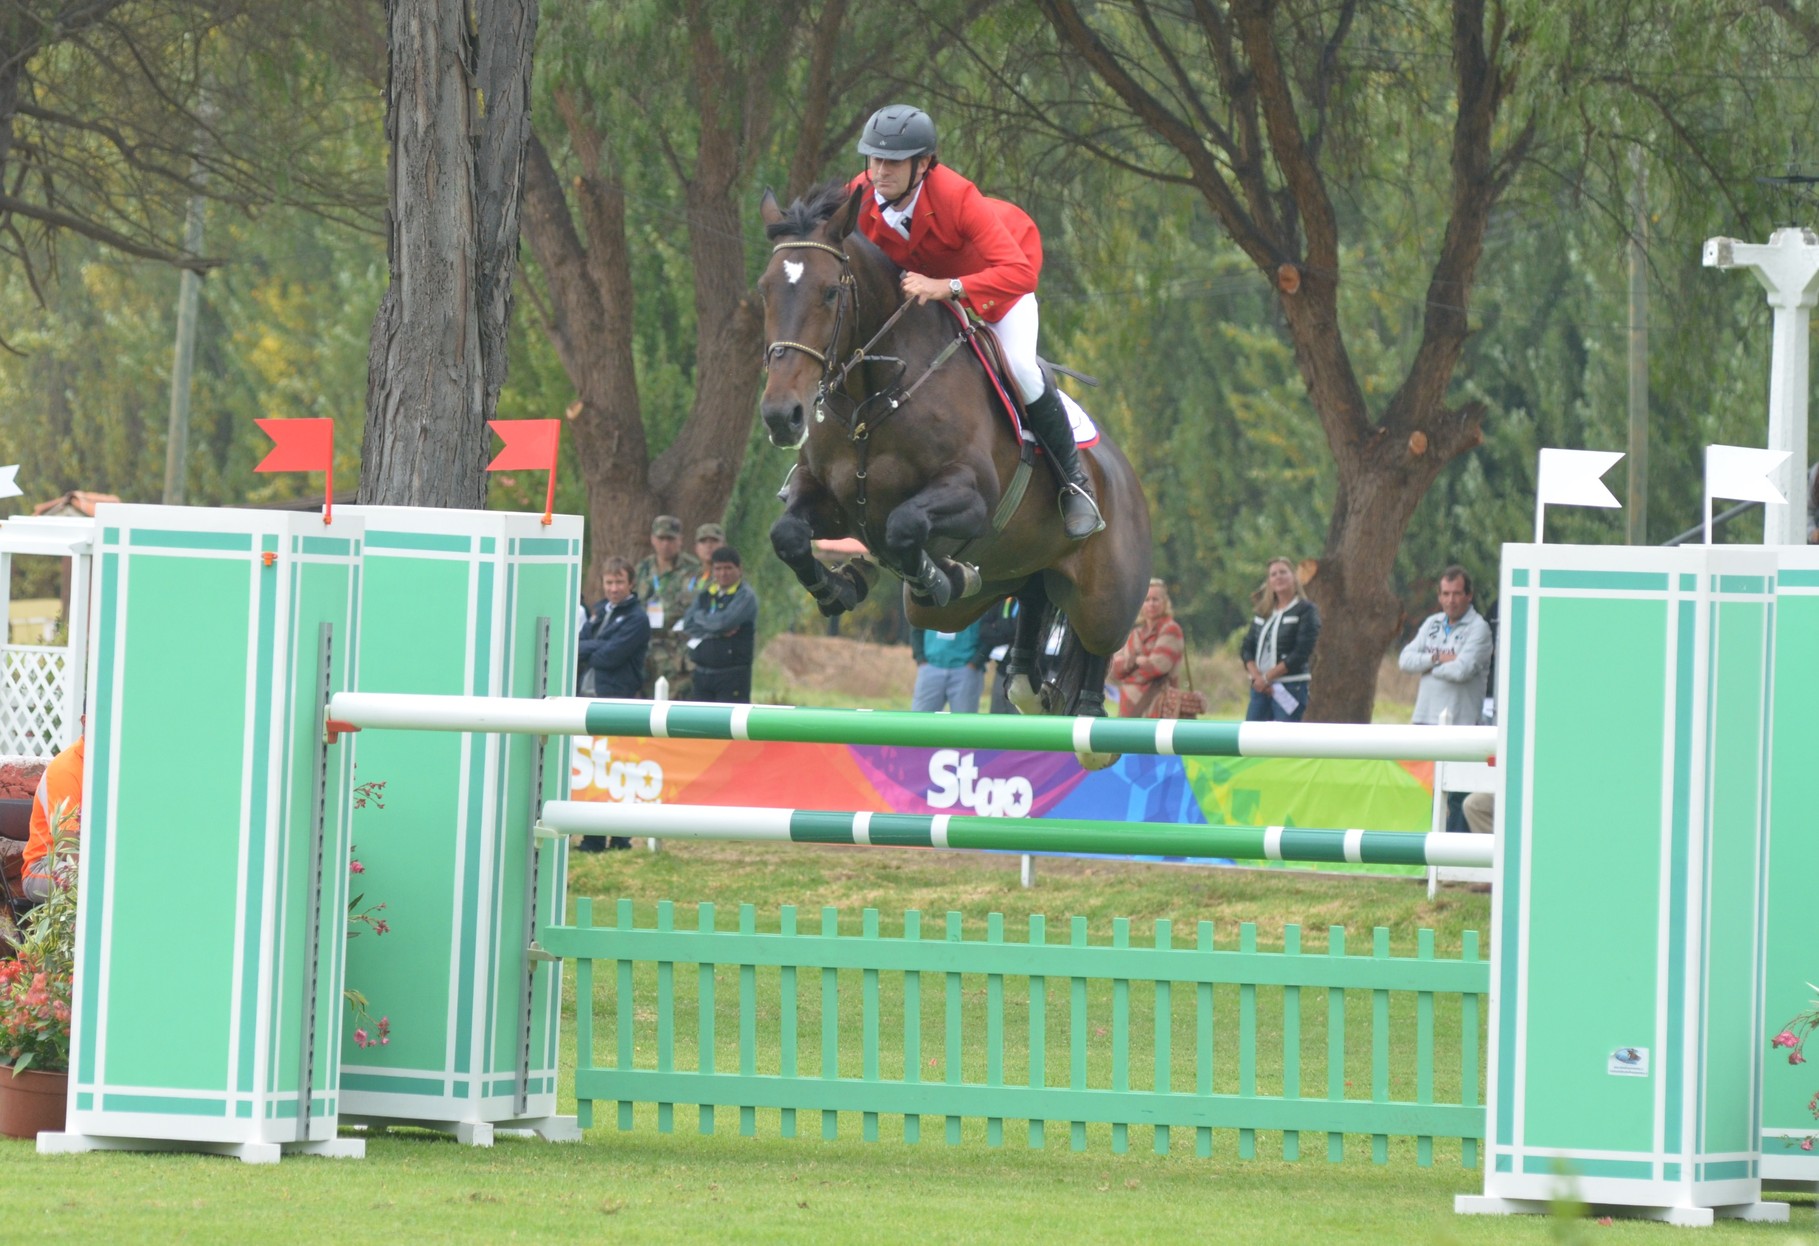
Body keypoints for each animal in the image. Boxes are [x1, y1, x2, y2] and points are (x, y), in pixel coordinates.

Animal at [756, 177, 1149, 749]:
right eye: (765, 290)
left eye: (830, 292)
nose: (781, 416)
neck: (873, 398)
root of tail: (1128, 477)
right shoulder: (829, 501)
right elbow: (787, 534)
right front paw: (841, 586)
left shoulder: (971, 498)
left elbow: (903, 525)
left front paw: (935, 576)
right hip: (1015, 570)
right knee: (1031, 601)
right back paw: (1026, 680)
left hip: (1105, 593)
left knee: (1100, 641)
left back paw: (1091, 714)